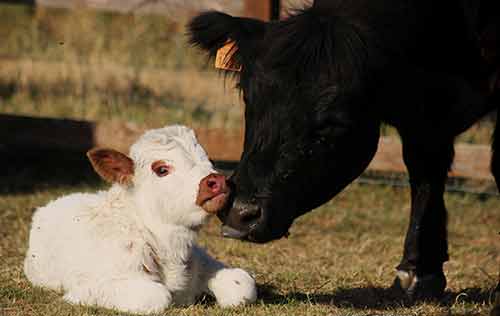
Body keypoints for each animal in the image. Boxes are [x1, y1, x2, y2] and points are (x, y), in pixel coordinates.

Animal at [23, 125, 258, 314]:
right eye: (161, 169)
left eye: (209, 159)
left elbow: (243, 285)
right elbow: (158, 296)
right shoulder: (92, 287)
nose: (217, 181)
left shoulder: (202, 259)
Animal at [188, 0, 500, 308]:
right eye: (248, 97)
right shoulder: (423, 118)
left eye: (331, 122)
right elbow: (425, 173)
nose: (239, 212)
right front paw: (418, 273)